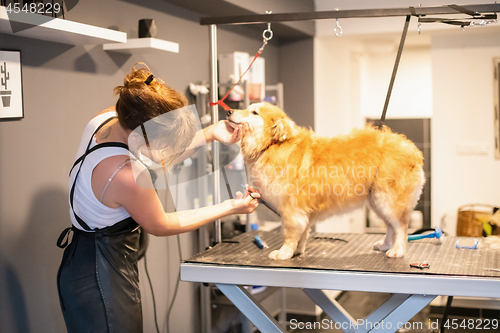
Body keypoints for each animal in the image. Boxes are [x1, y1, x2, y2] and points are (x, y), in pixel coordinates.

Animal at [228, 102, 426, 258]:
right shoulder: (302, 211)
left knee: (401, 227)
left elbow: (290, 234)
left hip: (389, 199)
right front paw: (297, 251)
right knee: (391, 227)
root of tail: (412, 149)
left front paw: (284, 253)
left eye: (254, 112)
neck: (271, 145)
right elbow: (303, 233)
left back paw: (397, 250)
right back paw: (385, 245)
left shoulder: (291, 209)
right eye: (247, 108)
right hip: (377, 201)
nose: (229, 111)